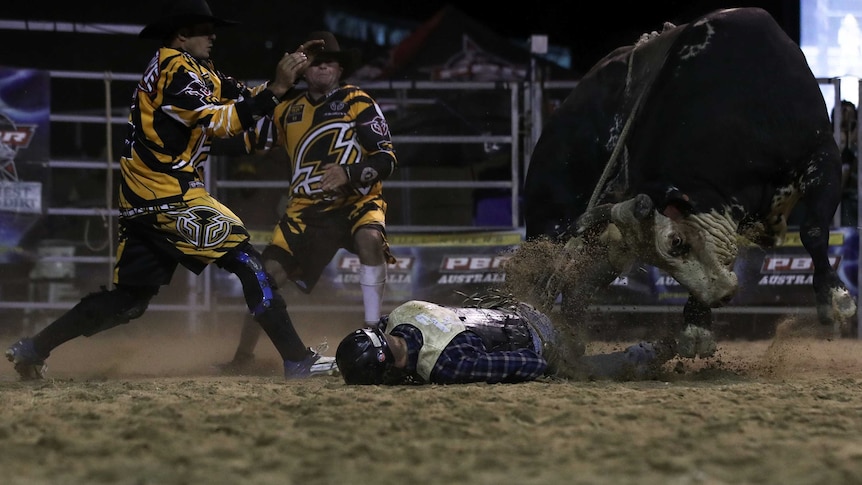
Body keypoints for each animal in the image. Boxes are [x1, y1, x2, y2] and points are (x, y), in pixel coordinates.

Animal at [516, 6, 860, 356]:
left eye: (676, 243)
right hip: (550, 223)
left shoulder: (822, 154)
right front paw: (697, 324)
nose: (721, 296)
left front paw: (835, 300)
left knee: (578, 290)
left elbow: (813, 231)